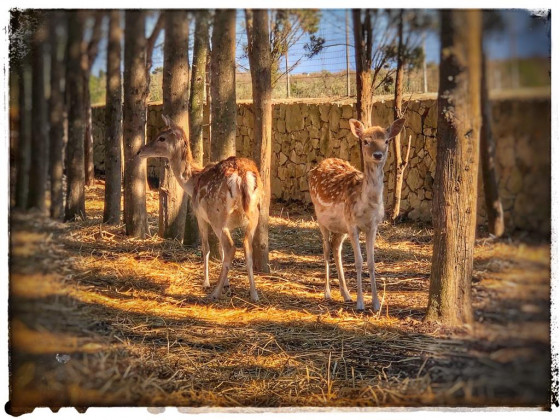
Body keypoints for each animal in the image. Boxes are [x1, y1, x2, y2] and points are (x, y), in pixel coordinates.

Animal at [136, 115, 262, 302]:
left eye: (161, 138)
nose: (140, 151)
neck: (192, 182)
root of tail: (242, 176)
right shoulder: (230, 223)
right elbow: (221, 252)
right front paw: (227, 283)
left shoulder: (199, 215)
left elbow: (206, 247)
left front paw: (207, 282)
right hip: (255, 212)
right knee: (246, 246)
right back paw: (254, 294)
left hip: (217, 214)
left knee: (231, 247)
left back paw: (214, 293)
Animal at [308, 116, 404, 310]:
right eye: (366, 141)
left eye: (386, 141)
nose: (378, 155)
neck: (367, 205)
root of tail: (317, 166)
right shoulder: (352, 224)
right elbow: (358, 261)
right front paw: (360, 303)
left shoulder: (373, 226)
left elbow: (372, 262)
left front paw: (376, 303)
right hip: (321, 219)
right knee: (326, 249)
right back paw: (327, 293)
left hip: (340, 227)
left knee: (336, 248)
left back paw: (346, 294)